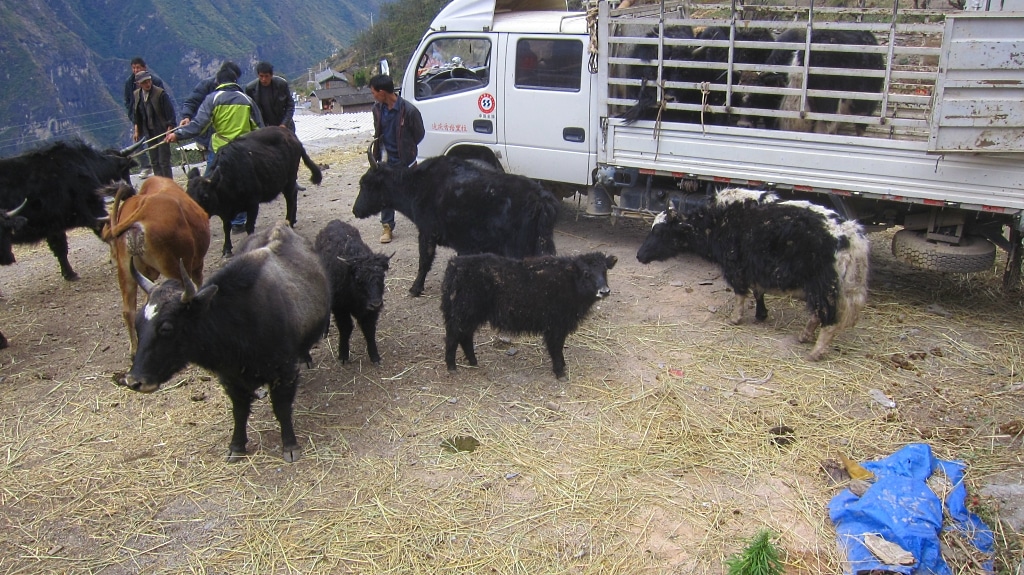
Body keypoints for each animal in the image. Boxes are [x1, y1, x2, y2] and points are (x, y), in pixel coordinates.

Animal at [100, 177, 210, 354]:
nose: (112, 258)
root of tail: (142, 211)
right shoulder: (196, 265)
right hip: (176, 269)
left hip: (126, 273)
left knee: (128, 311)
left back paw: (134, 349)